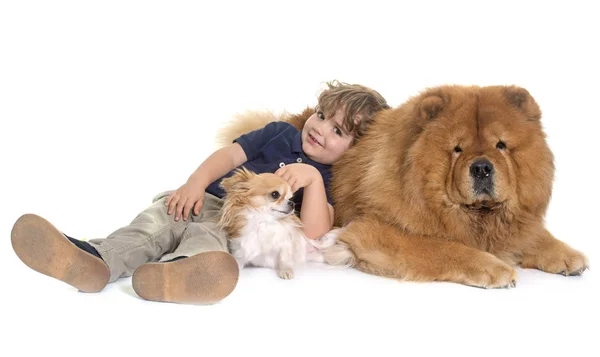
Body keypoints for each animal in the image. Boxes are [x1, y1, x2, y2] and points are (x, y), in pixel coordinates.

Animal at [219, 85, 584, 288]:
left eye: (501, 145)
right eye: (457, 149)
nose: (481, 167)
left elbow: (533, 235)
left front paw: (568, 256)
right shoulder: (375, 230)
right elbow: (447, 249)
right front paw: (495, 268)